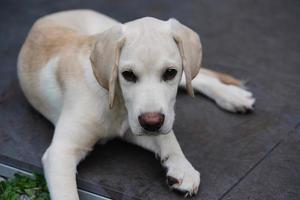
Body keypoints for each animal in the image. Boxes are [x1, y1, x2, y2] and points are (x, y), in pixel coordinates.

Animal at [17, 9, 254, 198]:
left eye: (170, 72)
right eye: (128, 75)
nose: (151, 122)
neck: (117, 103)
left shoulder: (141, 124)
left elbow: (168, 136)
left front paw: (182, 167)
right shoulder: (61, 152)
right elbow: (67, 194)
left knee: (194, 77)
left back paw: (233, 96)